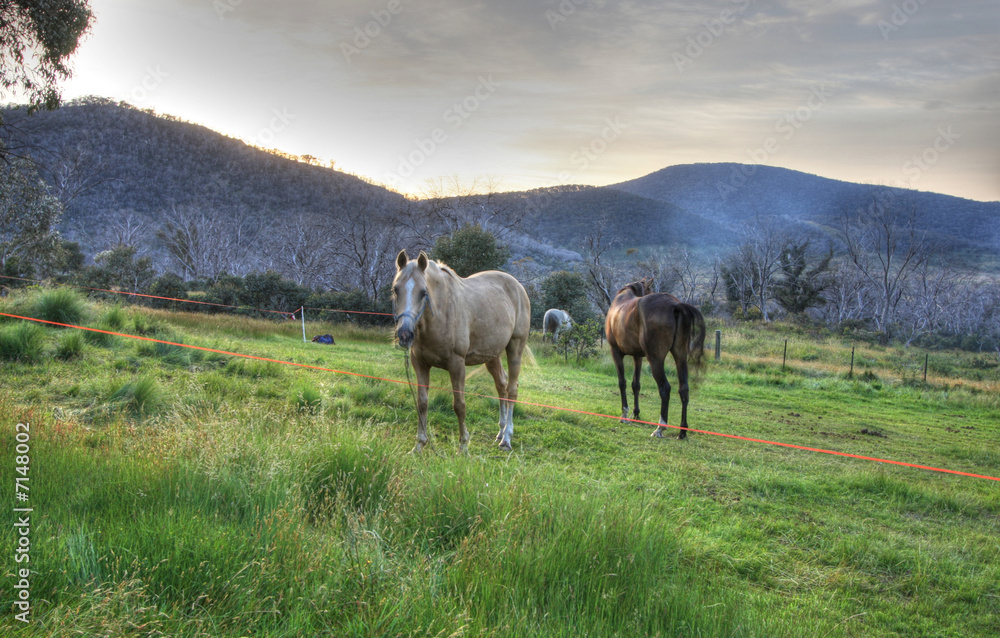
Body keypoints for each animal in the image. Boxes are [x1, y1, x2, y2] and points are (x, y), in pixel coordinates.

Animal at [392, 250, 531, 452]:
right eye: (396, 289)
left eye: (423, 292)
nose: (404, 334)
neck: (441, 313)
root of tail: (518, 287)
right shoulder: (420, 364)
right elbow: (422, 403)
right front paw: (419, 444)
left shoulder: (457, 365)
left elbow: (459, 405)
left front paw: (463, 445)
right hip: (492, 356)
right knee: (502, 385)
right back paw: (500, 432)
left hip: (515, 347)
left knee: (512, 389)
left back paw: (506, 439)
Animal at [605, 279, 706, 439]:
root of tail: (675, 305)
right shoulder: (637, 357)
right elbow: (636, 384)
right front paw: (636, 414)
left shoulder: (616, 352)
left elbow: (622, 383)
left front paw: (624, 414)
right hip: (680, 357)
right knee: (684, 389)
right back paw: (682, 431)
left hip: (656, 360)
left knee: (665, 388)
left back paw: (660, 428)